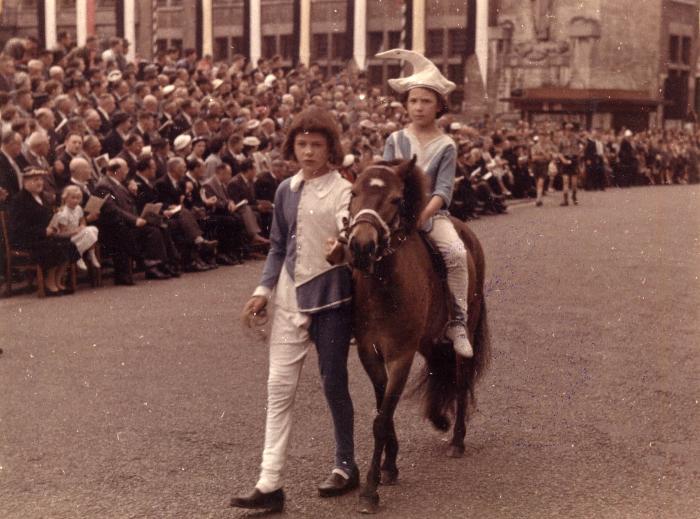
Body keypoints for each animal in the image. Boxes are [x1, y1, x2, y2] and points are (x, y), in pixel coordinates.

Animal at [340, 158, 486, 516]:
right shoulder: (370, 354)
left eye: (395, 199)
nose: (361, 246)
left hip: (463, 329)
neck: (383, 283)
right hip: (430, 340)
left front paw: (370, 490)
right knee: (438, 368)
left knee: (460, 380)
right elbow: (383, 412)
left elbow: (382, 419)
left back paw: (457, 439)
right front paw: (389, 466)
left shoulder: (401, 356)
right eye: (353, 193)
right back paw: (438, 419)